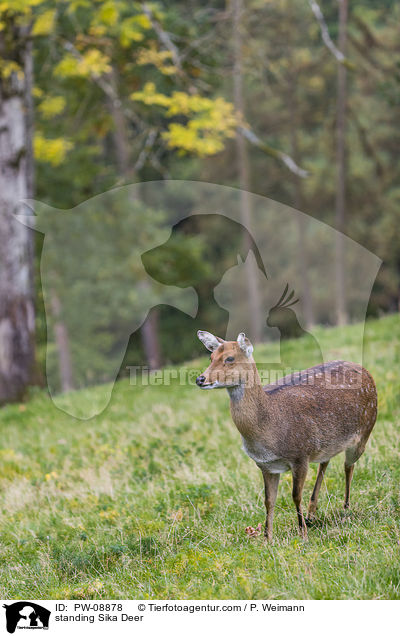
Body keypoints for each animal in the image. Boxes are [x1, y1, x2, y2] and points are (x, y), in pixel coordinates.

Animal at [197, 332, 378, 540]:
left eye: (229, 358)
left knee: (348, 466)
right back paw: (312, 513)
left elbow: (295, 495)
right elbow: (269, 500)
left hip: (365, 429)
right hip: (325, 443)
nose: (200, 379)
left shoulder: (300, 455)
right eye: (211, 357)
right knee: (325, 462)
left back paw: (345, 508)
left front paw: (303, 533)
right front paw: (267, 537)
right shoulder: (266, 466)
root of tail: (364, 370)